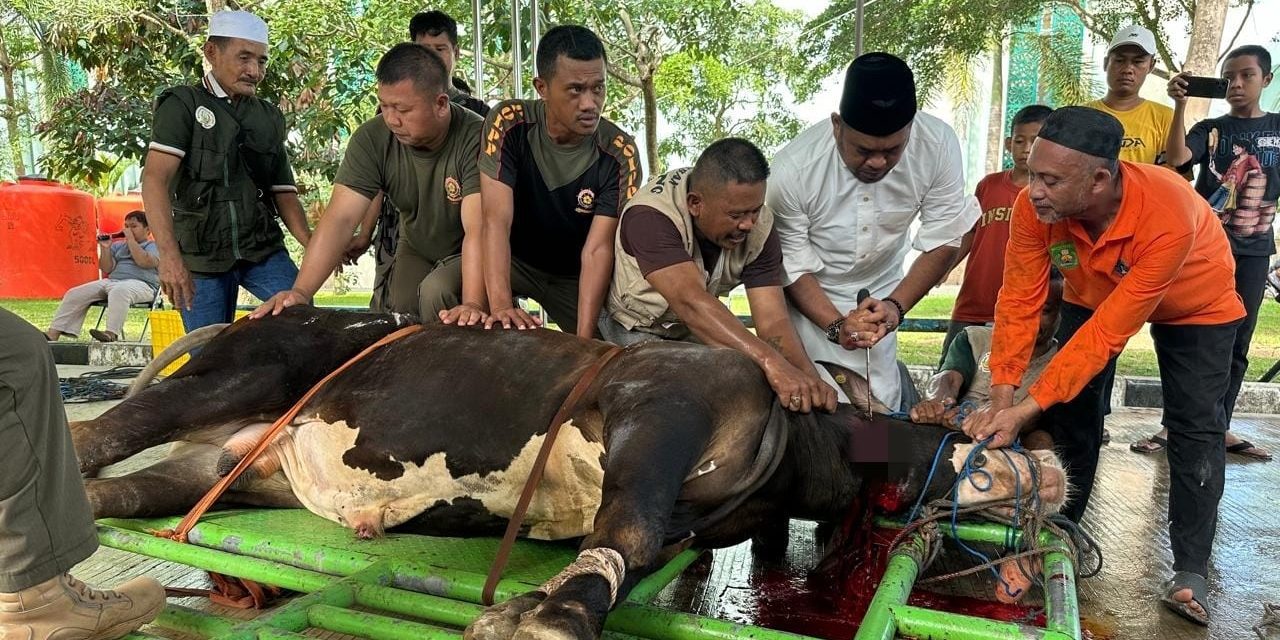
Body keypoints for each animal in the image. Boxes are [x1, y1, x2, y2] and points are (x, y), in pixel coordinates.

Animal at [72, 304, 1070, 640]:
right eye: (970, 440)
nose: (1056, 474)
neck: (796, 440)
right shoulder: (661, 408)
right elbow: (626, 526)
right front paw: (557, 612)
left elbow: (630, 535)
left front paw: (538, 603)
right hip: (235, 378)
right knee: (97, 439)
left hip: (234, 460)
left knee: (120, 489)